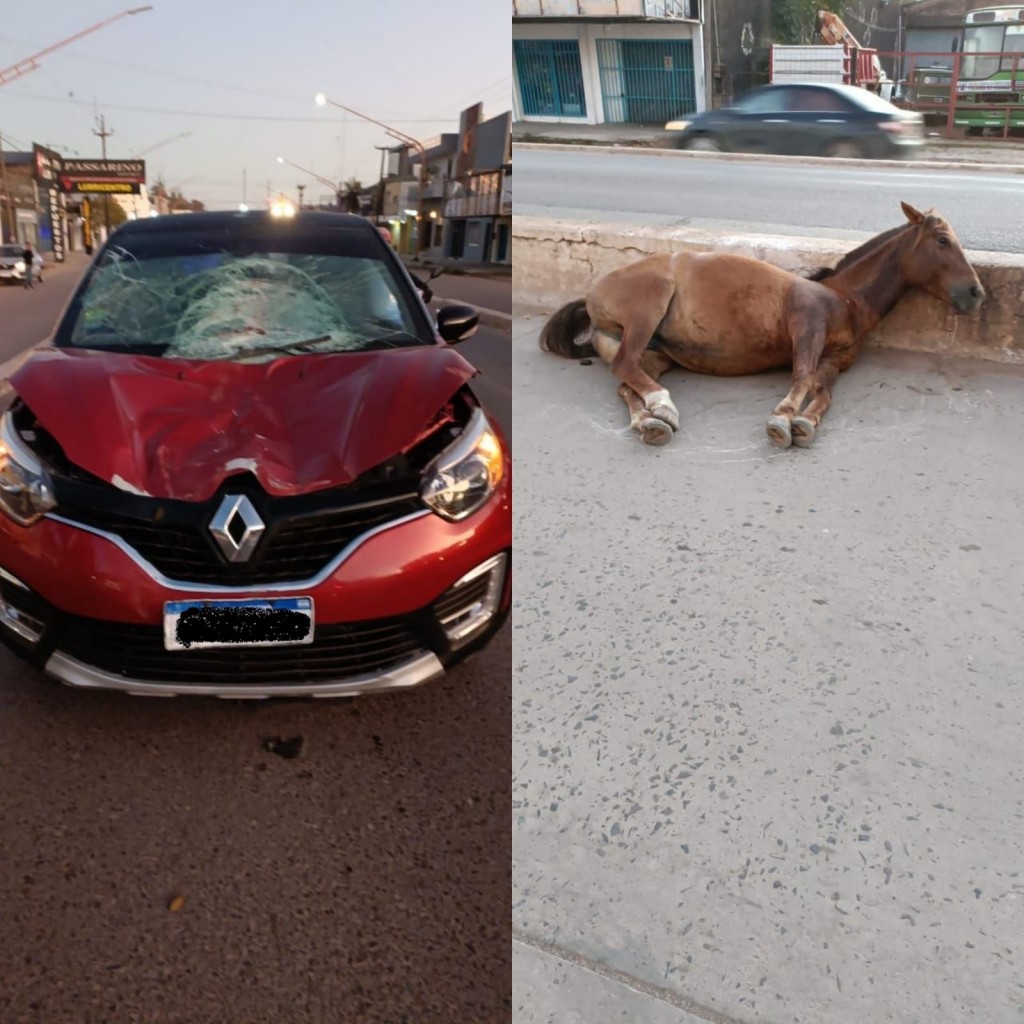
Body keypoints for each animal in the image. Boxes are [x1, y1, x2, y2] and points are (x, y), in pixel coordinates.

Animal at [540, 203, 978, 448]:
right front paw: (783, 419)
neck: (844, 299)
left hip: (657, 354)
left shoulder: (835, 359)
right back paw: (662, 407)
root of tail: (593, 296)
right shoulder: (806, 328)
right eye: (942, 240)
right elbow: (802, 378)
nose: (976, 293)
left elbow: (823, 392)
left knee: (627, 381)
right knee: (625, 367)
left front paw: (806, 423)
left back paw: (651, 419)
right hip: (650, 305)